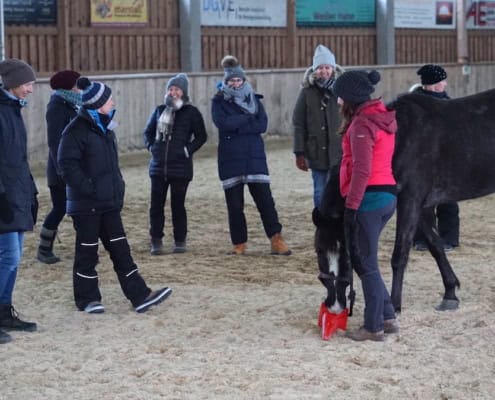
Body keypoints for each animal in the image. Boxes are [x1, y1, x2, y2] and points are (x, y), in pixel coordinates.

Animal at [316, 89, 495, 314]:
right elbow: (436, 247)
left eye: (345, 252)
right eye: (319, 250)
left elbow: (400, 255)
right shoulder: (422, 206)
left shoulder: (410, 200)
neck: (399, 139)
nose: (335, 305)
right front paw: (450, 293)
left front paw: (395, 304)